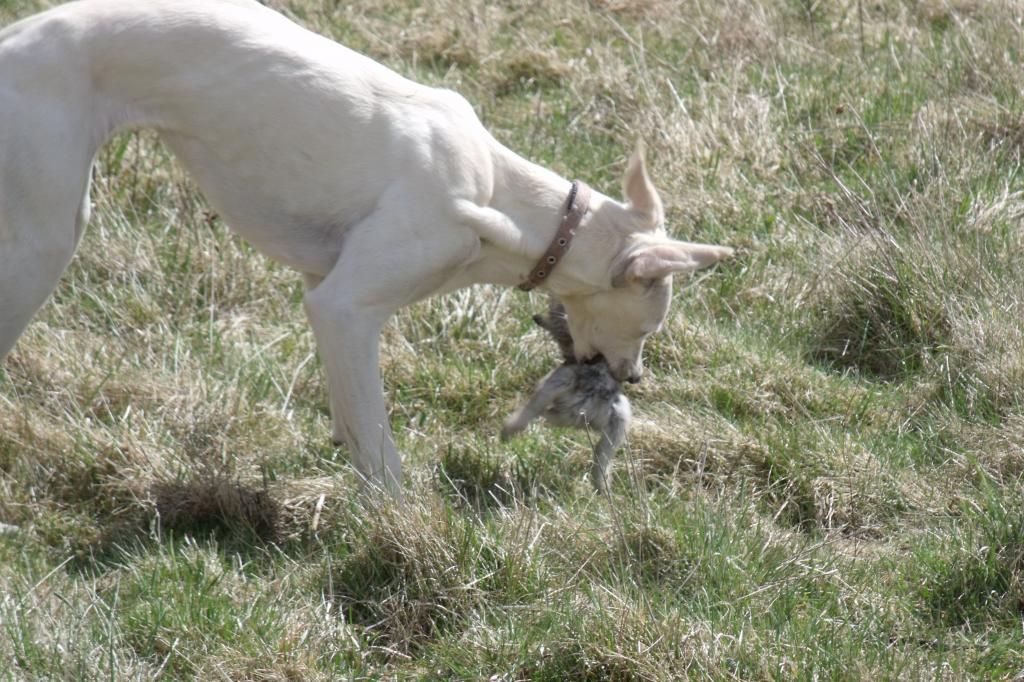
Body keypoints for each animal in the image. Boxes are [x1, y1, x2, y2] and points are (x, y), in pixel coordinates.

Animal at [2, 0, 737, 491]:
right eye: (650, 324)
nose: (632, 379)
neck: (498, 193)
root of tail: (18, 36)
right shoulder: (346, 308)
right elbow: (381, 453)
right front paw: (398, 521)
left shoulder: (323, 291)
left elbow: (351, 413)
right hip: (45, 240)